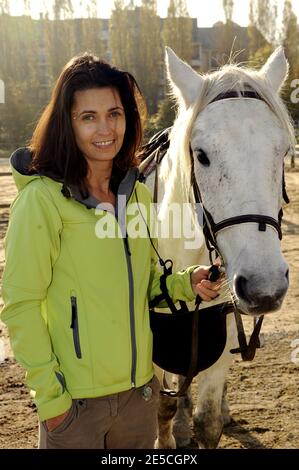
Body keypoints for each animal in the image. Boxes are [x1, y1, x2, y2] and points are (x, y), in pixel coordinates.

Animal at [144, 46, 296, 448]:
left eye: (282, 152)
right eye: (201, 155)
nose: (264, 286)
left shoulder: (221, 328)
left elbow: (208, 421)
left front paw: (208, 417)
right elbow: (161, 405)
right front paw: (168, 435)